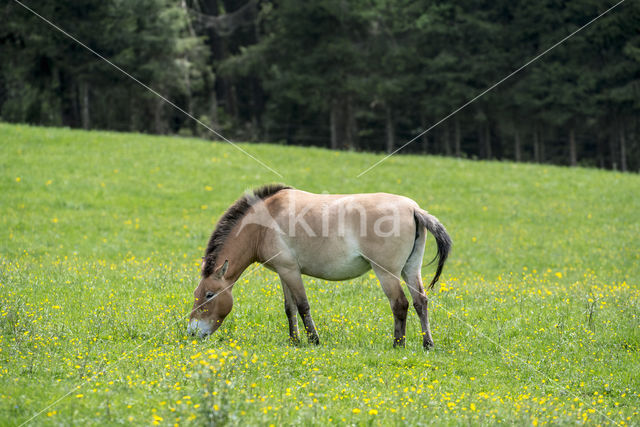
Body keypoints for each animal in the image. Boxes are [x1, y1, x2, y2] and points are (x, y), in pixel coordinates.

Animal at [188, 186, 452, 350]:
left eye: (209, 295)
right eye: (196, 294)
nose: (191, 332)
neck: (263, 224)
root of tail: (413, 209)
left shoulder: (291, 271)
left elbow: (303, 306)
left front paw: (313, 340)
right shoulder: (284, 272)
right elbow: (289, 308)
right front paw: (294, 341)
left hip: (386, 273)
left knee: (400, 304)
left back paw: (398, 344)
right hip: (411, 270)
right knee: (420, 302)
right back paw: (427, 344)